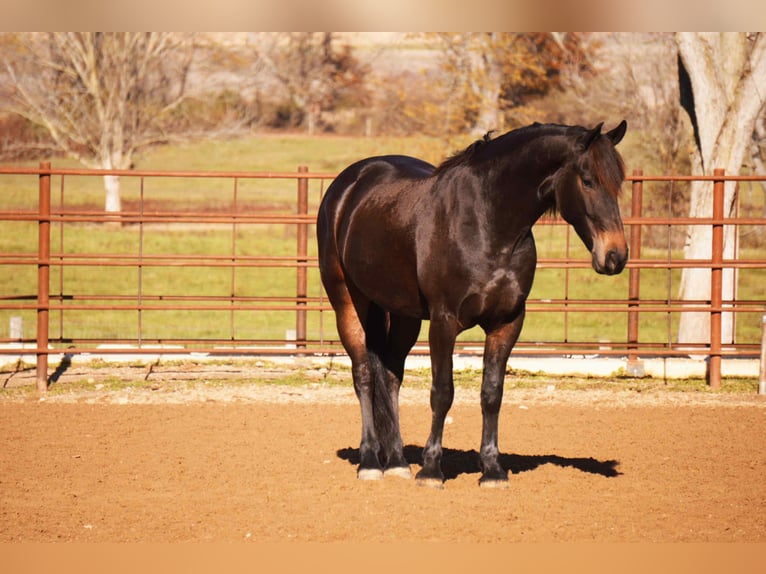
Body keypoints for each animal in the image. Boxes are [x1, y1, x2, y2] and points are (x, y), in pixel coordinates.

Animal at [317, 121, 629, 488]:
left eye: (618, 182)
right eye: (588, 179)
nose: (615, 256)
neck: (487, 224)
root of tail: (349, 184)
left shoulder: (507, 322)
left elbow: (492, 393)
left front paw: (492, 470)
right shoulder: (444, 321)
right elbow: (442, 392)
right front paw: (431, 470)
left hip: (403, 315)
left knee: (390, 376)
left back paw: (396, 462)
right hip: (348, 302)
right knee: (363, 374)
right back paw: (369, 462)